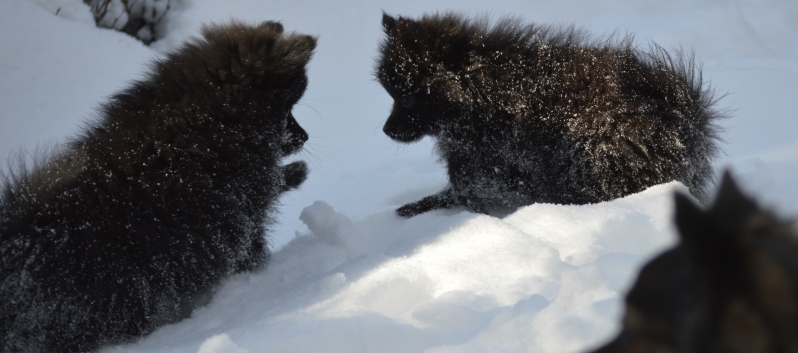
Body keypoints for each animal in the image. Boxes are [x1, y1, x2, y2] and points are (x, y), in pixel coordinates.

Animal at [376, 12, 724, 216]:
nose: (386, 130)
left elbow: (459, 194)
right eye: (391, 94)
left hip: (595, 158)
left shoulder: (490, 171)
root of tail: (684, 118)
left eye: (407, 98)